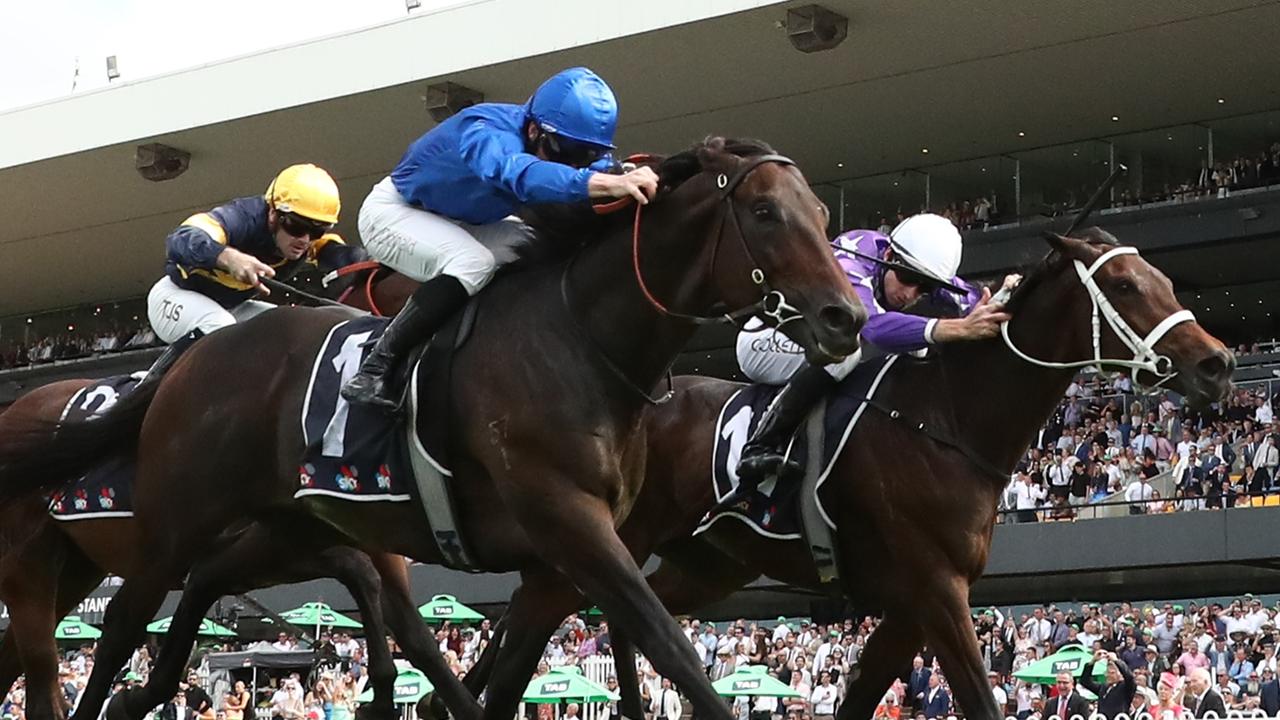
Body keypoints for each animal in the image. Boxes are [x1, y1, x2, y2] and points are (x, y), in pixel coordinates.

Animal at [0, 139, 865, 717]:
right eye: (764, 212)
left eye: (824, 214)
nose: (845, 318)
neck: (578, 337)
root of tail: (195, 360)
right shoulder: (570, 526)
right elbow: (672, 651)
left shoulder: (551, 562)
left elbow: (481, 667)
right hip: (160, 526)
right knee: (109, 631)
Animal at [465, 228, 1233, 717]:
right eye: (1126, 285)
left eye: (1166, 280)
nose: (1218, 363)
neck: (948, 417)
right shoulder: (936, 589)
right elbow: (976, 700)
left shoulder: (913, 603)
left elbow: (862, 693)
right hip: (595, 540)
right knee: (535, 622)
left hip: (709, 562)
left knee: (628, 621)